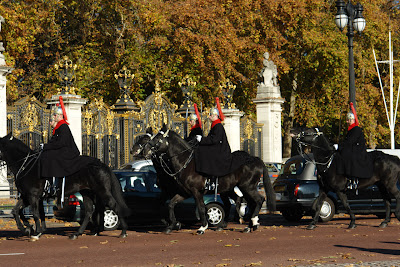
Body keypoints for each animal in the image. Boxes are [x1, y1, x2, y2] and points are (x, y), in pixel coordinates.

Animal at [0, 134, 130, 241]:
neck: (26, 166)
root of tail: (103, 164)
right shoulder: (27, 196)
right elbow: (16, 211)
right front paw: (28, 229)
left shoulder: (33, 196)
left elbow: (35, 214)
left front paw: (35, 233)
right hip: (87, 192)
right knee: (90, 211)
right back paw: (79, 233)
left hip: (103, 192)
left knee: (114, 206)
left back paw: (123, 231)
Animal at [141, 126, 276, 233]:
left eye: (158, 138)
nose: (145, 151)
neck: (186, 163)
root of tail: (256, 159)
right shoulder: (185, 192)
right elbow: (171, 204)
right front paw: (173, 225)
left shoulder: (196, 192)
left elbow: (201, 208)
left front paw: (202, 227)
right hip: (238, 189)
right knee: (247, 203)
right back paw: (249, 225)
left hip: (248, 187)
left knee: (259, 200)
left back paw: (252, 223)